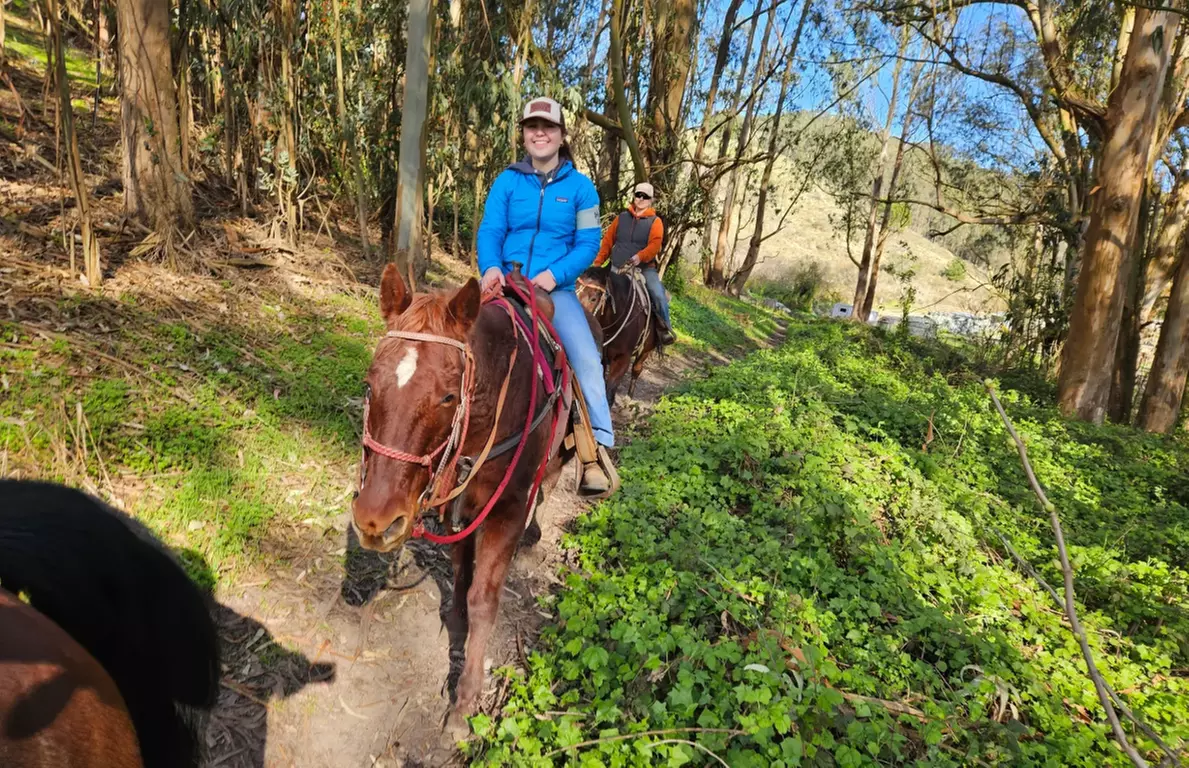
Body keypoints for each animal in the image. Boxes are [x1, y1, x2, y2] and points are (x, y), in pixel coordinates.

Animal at [351, 264, 575, 728]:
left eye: (449, 396)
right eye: (369, 385)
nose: (375, 520)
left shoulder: (506, 510)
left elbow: (484, 598)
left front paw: (466, 697)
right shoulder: (457, 501)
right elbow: (459, 570)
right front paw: (455, 620)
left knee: (551, 480)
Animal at [576, 264, 662, 405]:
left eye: (594, 298)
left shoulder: (622, 359)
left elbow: (609, 393)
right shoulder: (601, 358)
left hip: (646, 350)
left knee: (637, 369)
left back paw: (628, 398)